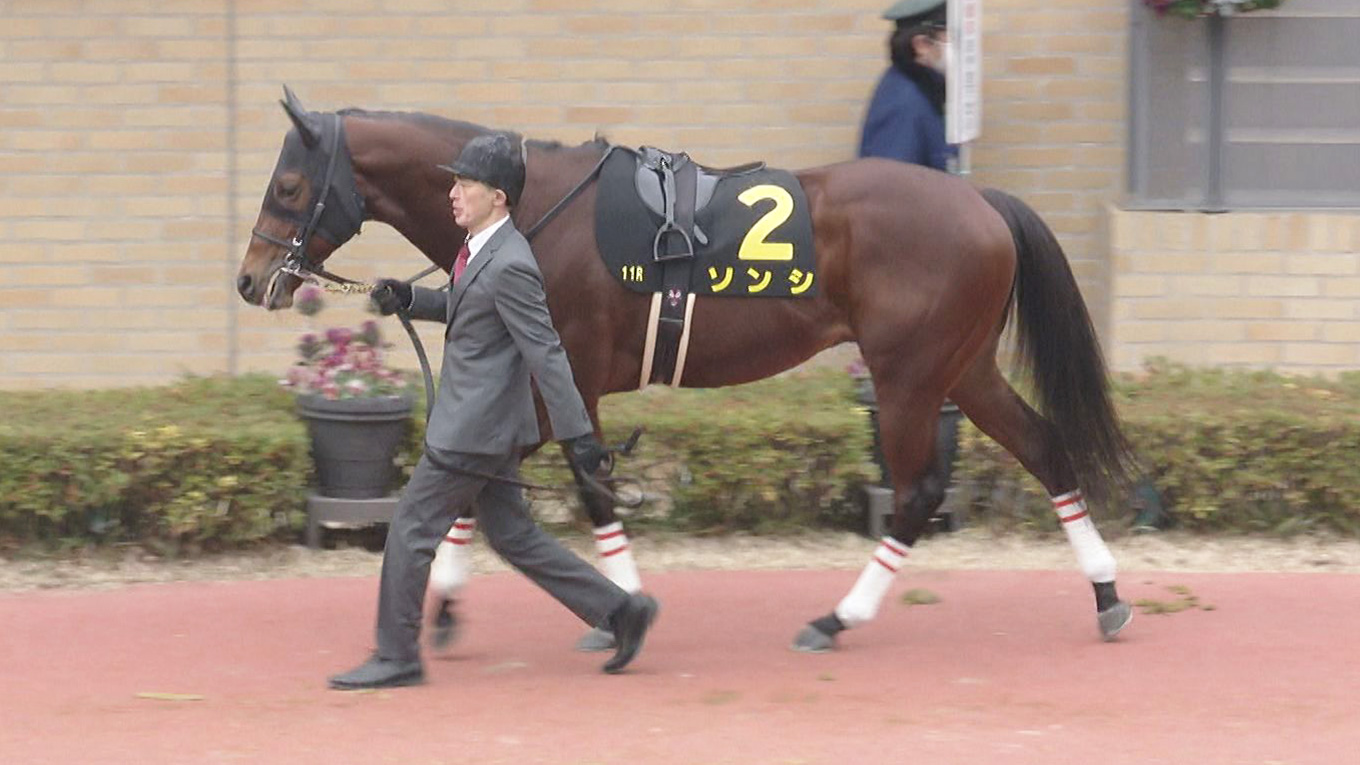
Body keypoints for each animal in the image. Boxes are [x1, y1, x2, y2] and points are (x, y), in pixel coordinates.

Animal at [237, 87, 1137, 653]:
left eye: (290, 185)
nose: (251, 280)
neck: (534, 209)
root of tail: (982, 200)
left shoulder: (570, 375)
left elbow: (581, 482)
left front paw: (619, 607)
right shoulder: (544, 381)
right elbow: (482, 475)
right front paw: (456, 607)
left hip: (910, 377)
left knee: (917, 491)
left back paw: (837, 617)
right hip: (962, 367)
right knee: (1046, 446)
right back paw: (1107, 595)